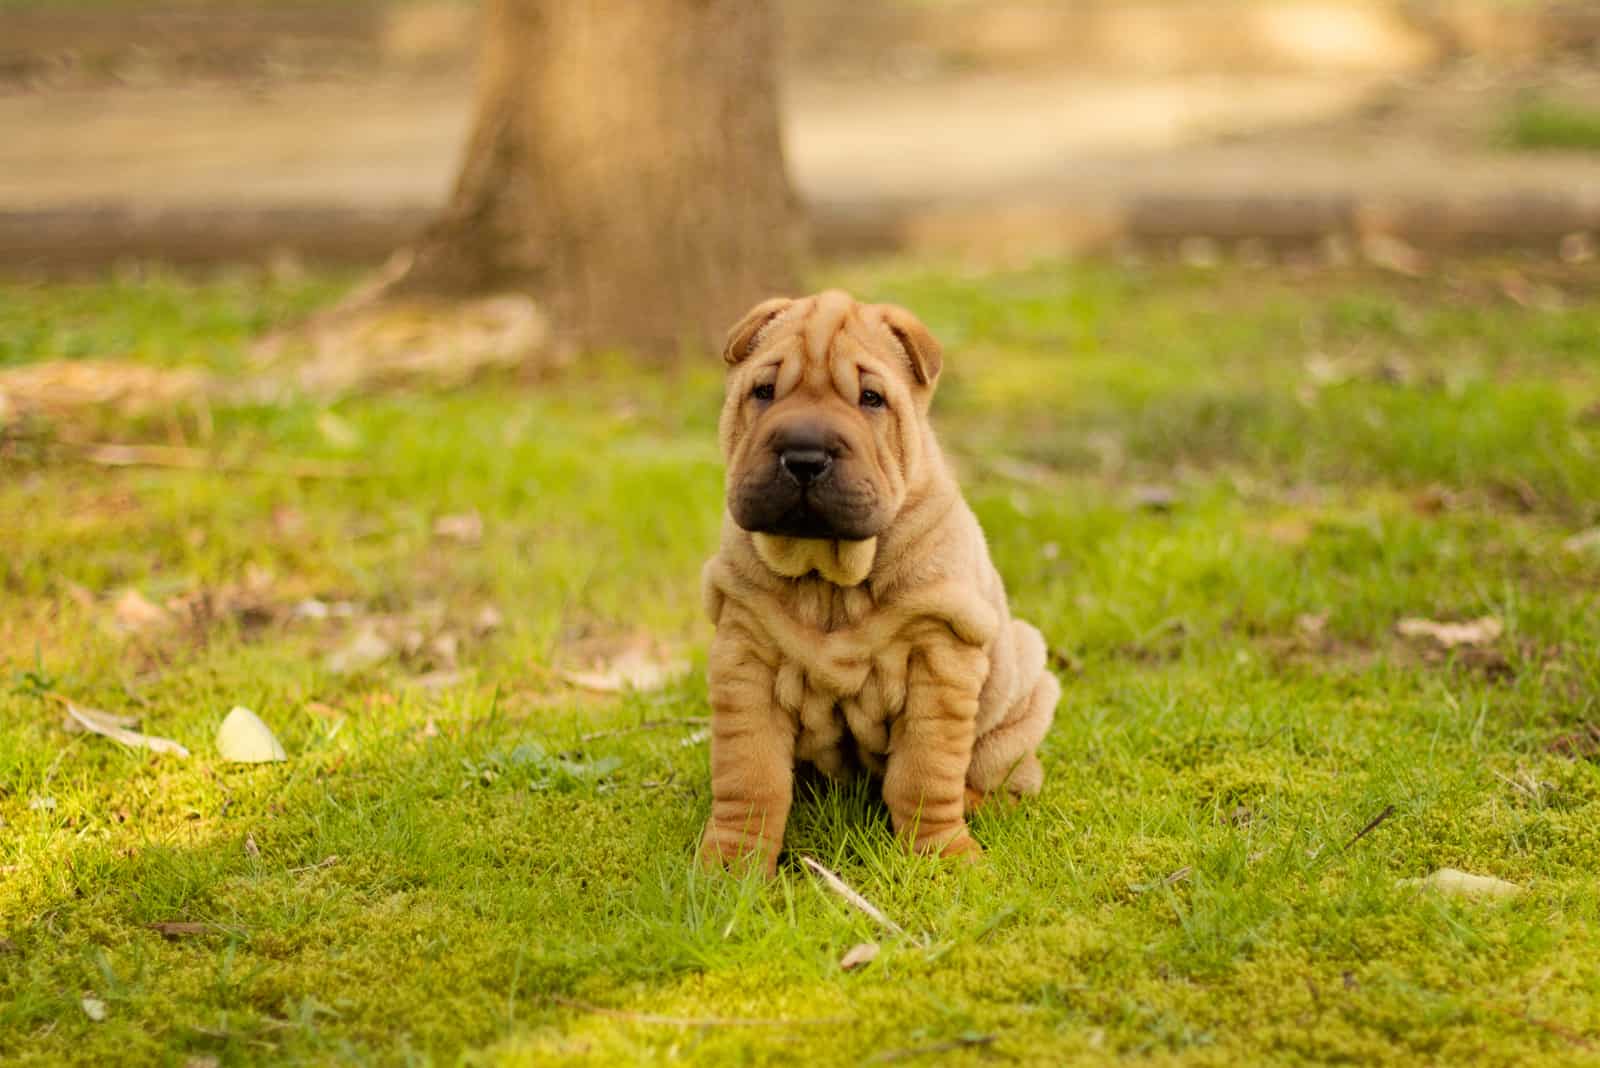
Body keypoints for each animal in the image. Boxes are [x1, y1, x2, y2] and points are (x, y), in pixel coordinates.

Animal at [704, 287, 1062, 869]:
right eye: (763, 392)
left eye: (871, 399)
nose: (804, 455)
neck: (828, 576)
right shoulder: (744, 656)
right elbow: (750, 775)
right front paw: (731, 864)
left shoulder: (939, 656)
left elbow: (923, 774)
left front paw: (943, 855)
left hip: (1024, 683)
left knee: (1008, 774)